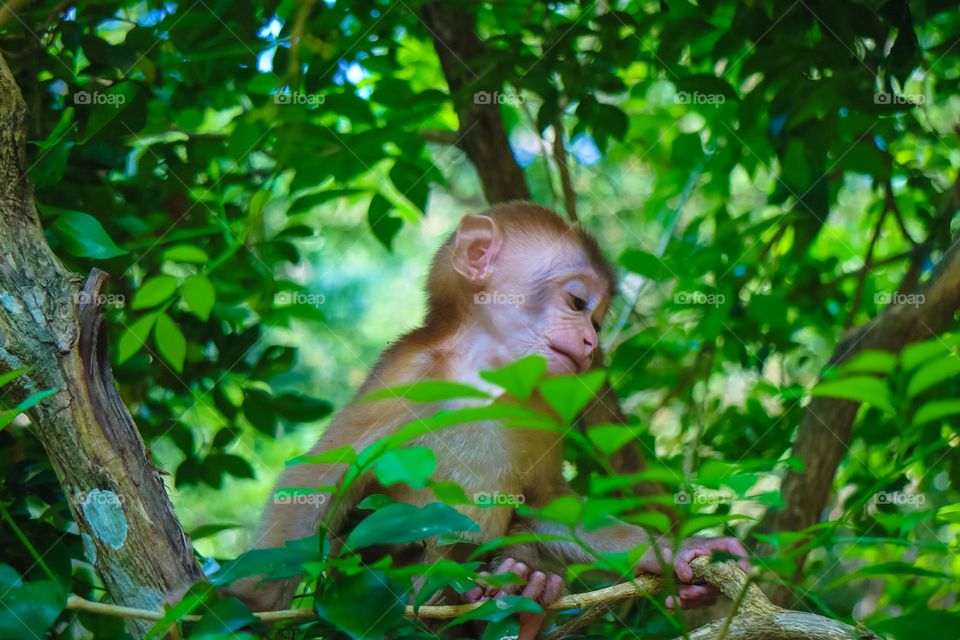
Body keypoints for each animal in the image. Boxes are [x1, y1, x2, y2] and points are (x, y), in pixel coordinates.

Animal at [231, 202, 747, 638]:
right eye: (578, 303)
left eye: (598, 322)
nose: (589, 343)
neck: (489, 378)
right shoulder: (403, 375)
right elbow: (318, 476)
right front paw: (247, 603)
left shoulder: (544, 406)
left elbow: (547, 502)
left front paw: (675, 552)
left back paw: (523, 590)